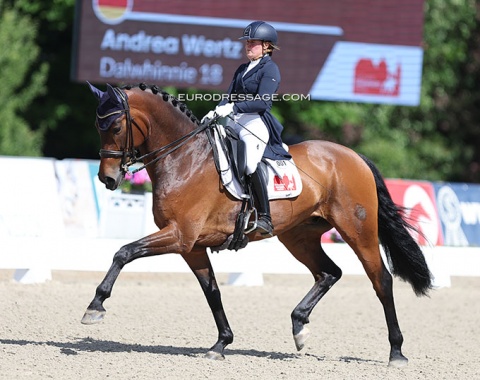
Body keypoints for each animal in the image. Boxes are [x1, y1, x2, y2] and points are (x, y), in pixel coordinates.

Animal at [81, 81, 432, 366]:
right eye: (98, 126)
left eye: (115, 126)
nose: (107, 179)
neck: (184, 159)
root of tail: (354, 156)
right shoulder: (190, 246)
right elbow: (212, 291)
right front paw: (221, 344)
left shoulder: (180, 236)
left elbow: (124, 252)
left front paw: (95, 306)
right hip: (298, 236)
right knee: (329, 272)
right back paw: (299, 326)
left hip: (358, 231)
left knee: (381, 280)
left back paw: (396, 352)